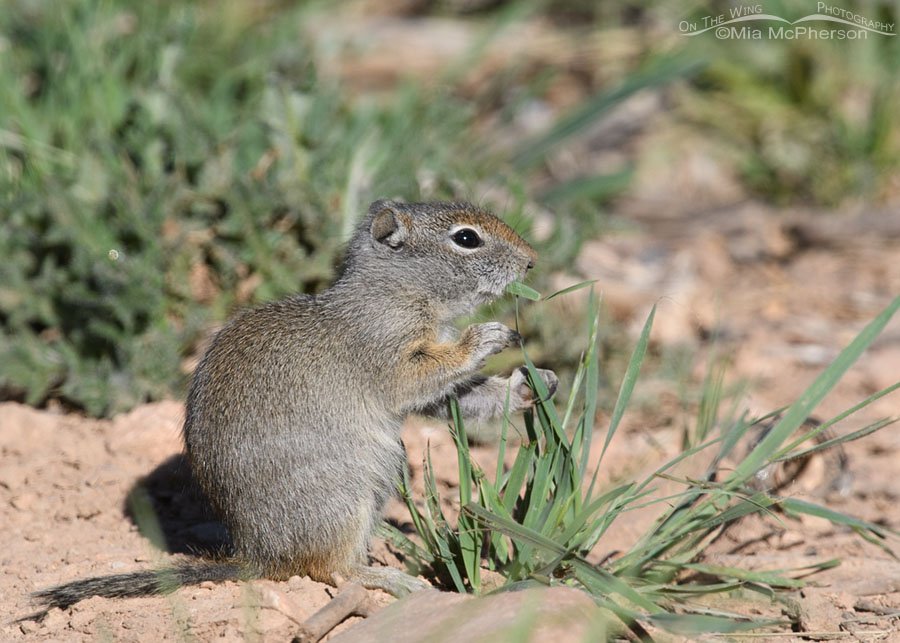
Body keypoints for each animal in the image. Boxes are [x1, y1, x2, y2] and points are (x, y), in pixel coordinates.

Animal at [31, 200, 558, 614]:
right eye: (466, 238)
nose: (532, 261)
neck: (395, 289)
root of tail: (259, 556)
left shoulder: (438, 388)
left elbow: (463, 398)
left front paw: (535, 385)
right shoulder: (390, 354)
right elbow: (422, 376)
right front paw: (488, 336)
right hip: (349, 497)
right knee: (331, 571)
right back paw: (389, 579)